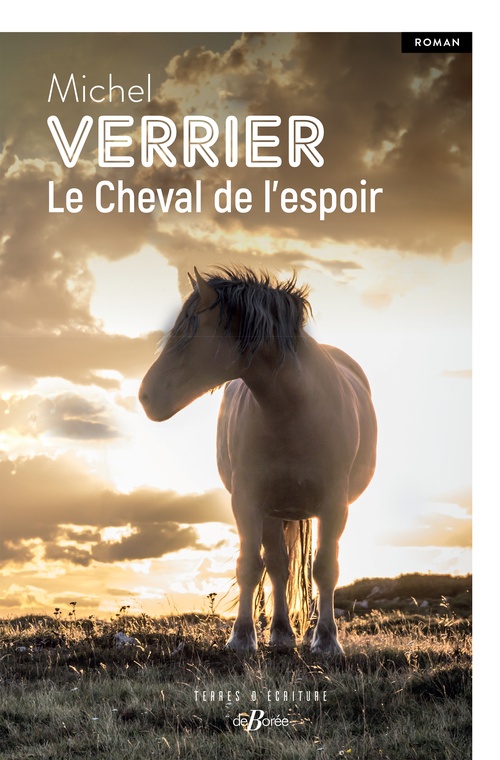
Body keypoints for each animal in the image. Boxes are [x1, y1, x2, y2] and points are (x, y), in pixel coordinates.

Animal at [139, 266, 377, 654]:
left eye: (187, 334)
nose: (145, 397)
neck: (293, 411)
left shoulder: (334, 504)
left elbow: (325, 568)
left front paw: (327, 641)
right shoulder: (248, 500)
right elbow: (251, 566)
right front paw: (241, 637)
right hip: (272, 510)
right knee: (278, 567)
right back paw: (280, 633)